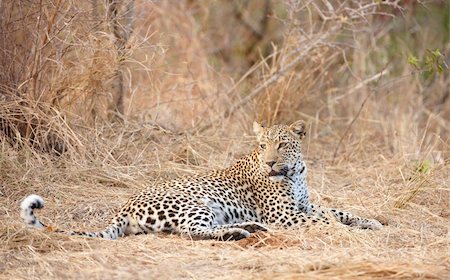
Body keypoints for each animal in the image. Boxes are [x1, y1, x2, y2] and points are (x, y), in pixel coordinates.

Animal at [19, 120, 382, 241]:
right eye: (262, 146)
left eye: (281, 144)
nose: (269, 162)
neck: (294, 173)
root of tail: (123, 207)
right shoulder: (286, 215)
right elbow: (325, 221)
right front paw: (349, 232)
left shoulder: (304, 206)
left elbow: (337, 211)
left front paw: (371, 222)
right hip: (194, 204)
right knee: (191, 232)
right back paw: (240, 232)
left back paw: (249, 229)